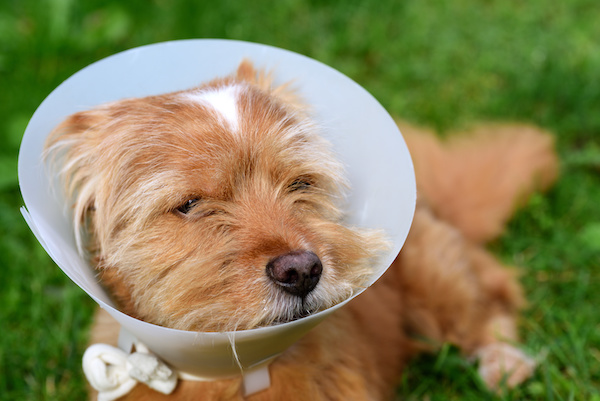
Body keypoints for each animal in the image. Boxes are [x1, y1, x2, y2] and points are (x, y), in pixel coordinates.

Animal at [45, 61, 556, 398]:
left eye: (300, 183)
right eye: (190, 205)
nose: (302, 271)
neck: (230, 373)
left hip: (438, 277)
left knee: (489, 305)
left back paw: (503, 363)